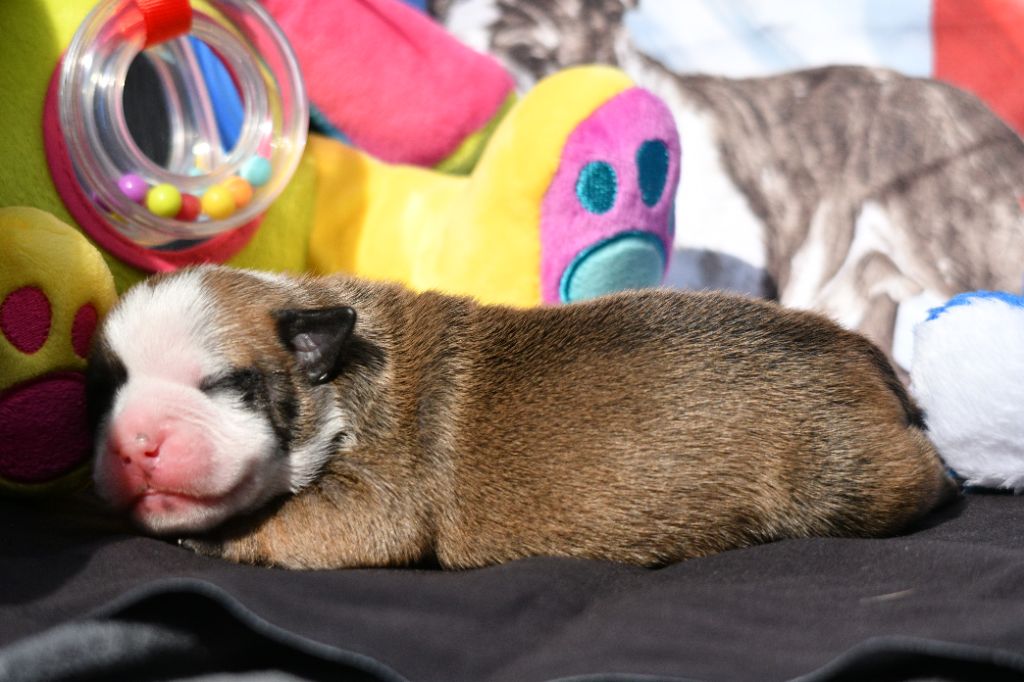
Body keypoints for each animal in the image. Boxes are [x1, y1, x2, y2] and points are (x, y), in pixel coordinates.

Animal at [85, 266, 956, 569]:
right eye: (105, 389)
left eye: (225, 384)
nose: (139, 441)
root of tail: (861, 353)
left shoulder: (374, 503)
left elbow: (280, 523)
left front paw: (215, 536)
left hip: (842, 479)